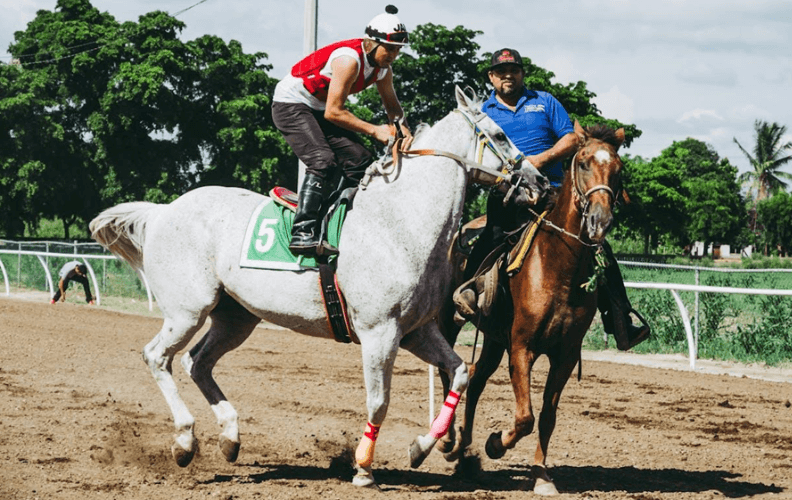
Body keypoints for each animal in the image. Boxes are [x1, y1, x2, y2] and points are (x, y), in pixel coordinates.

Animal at [89, 86, 549, 489]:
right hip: (188, 310)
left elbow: (459, 373)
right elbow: (379, 401)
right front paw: (363, 468)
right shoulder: (379, 333)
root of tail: (162, 211)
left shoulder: (416, 331)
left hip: (235, 317)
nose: (540, 183)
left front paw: (420, 447)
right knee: (158, 357)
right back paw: (185, 440)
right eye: (501, 135)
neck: (400, 224)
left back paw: (230, 437)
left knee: (197, 362)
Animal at [437, 121, 627, 496]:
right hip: (452, 323)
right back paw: (449, 441)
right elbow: (524, 417)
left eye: (618, 169)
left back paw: (465, 453)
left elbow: (546, 417)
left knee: (476, 379)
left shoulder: (565, 354)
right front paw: (496, 444)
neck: (560, 269)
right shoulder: (522, 348)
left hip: (495, 339)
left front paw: (541, 475)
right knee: (449, 371)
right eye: (583, 163)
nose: (600, 220)